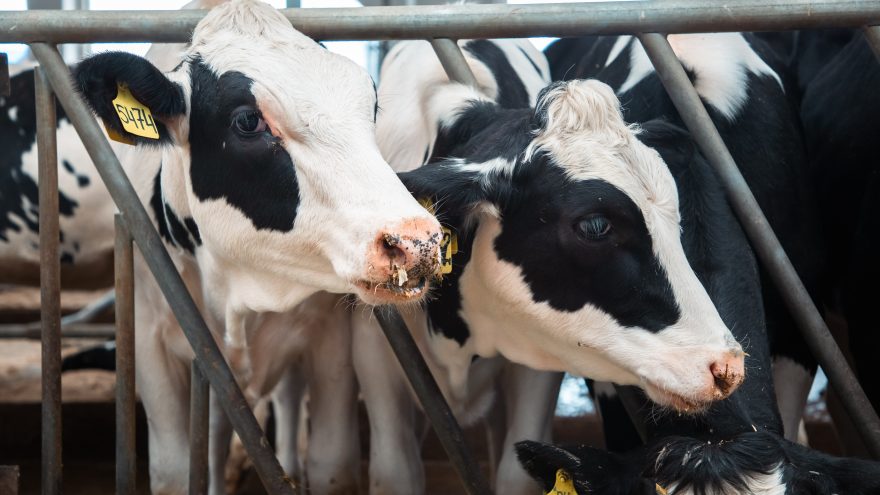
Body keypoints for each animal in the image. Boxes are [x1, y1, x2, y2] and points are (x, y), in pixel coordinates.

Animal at [1, 1, 446, 494]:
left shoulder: (329, 339)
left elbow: (333, 463)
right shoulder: (153, 342)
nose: (417, 240)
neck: (237, 292)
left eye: (371, 106)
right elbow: (177, 470)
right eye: (248, 121)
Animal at [354, 33, 748, 493]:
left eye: (675, 214)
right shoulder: (376, 349)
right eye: (595, 225)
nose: (726, 366)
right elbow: (394, 469)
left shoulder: (537, 364)